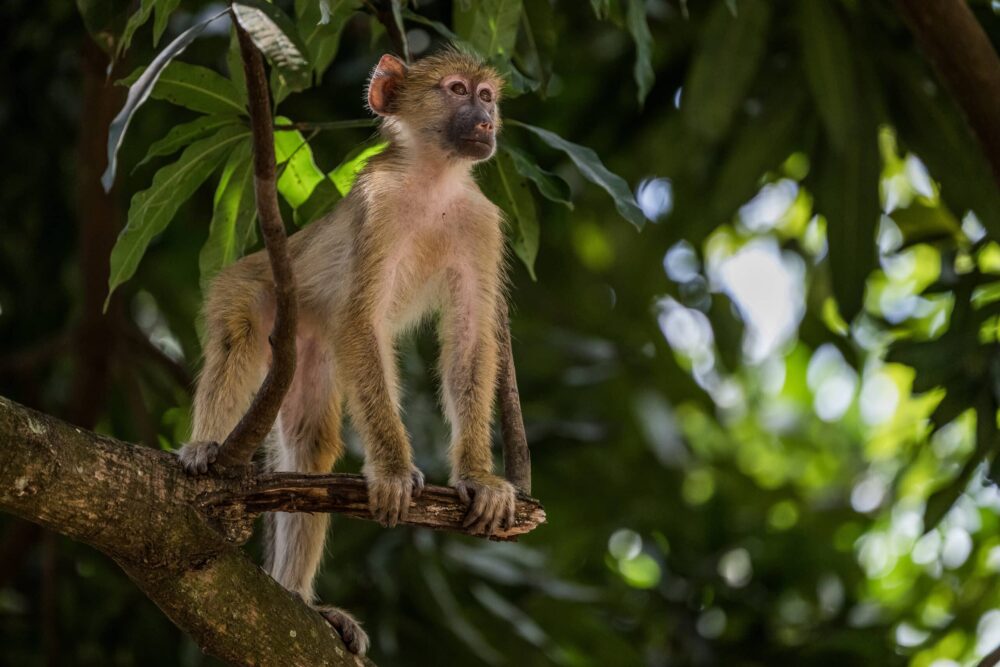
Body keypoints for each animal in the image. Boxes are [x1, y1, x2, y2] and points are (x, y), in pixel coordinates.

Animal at [176, 49, 518, 655]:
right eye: (457, 90)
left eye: (487, 96)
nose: (485, 121)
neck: (432, 182)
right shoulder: (378, 210)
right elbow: (361, 321)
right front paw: (393, 470)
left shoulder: (482, 223)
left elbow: (471, 339)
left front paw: (478, 477)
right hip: (247, 288)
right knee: (239, 340)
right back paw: (205, 446)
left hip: (310, 352)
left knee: (310, 442)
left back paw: (297, 599)